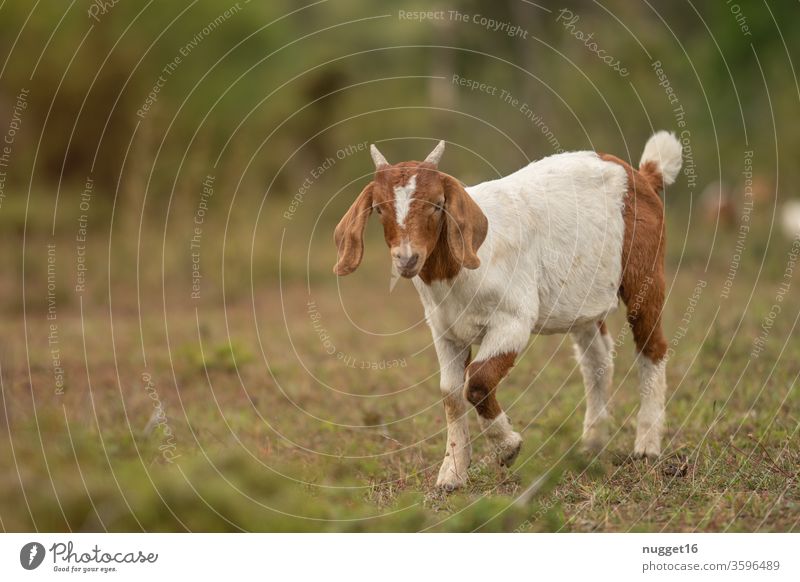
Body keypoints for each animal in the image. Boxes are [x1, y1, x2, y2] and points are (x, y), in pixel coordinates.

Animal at [332, 133, 680, 492]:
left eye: (437, 204)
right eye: (379, 208)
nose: (407, 258)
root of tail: (643, 176)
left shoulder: (513, 319)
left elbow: (478, 380)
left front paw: (507, 448)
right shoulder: (444, 330)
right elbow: (450, 392)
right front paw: (452, 474)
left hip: (646, 272)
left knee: (652, 346)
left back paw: (646, 446)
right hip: (583, 299)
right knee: (596, 358)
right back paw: (592, 444)